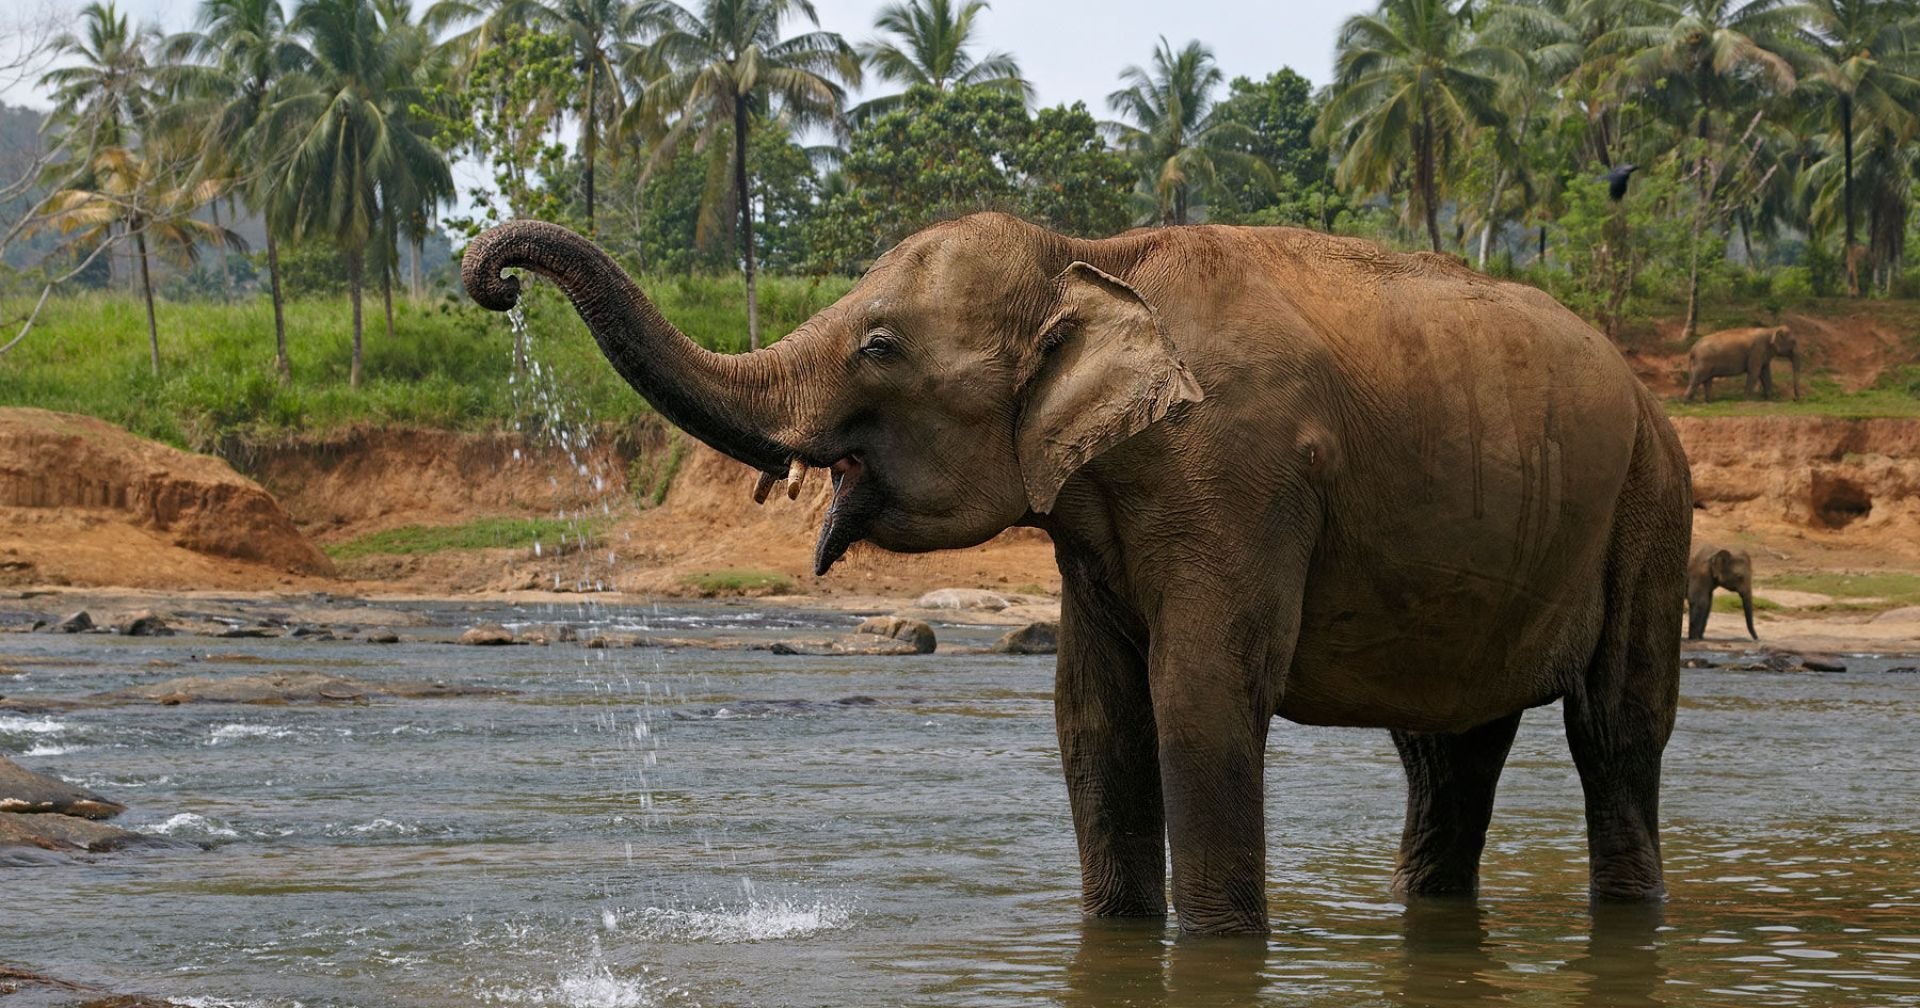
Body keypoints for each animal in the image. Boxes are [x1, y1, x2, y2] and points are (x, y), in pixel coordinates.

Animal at [464, 212, 1697, 936]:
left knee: (1614, 731)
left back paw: (1632, 907)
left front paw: (1215, 946)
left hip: (1652, 505)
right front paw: (1116, 936)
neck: (1091, 250)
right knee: (1447, 752)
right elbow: (1093, 715)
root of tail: (1649, 395)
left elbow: (1200, 700)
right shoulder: (1096, 515)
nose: (493, 280)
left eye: (879, 347)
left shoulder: (1238, 473)